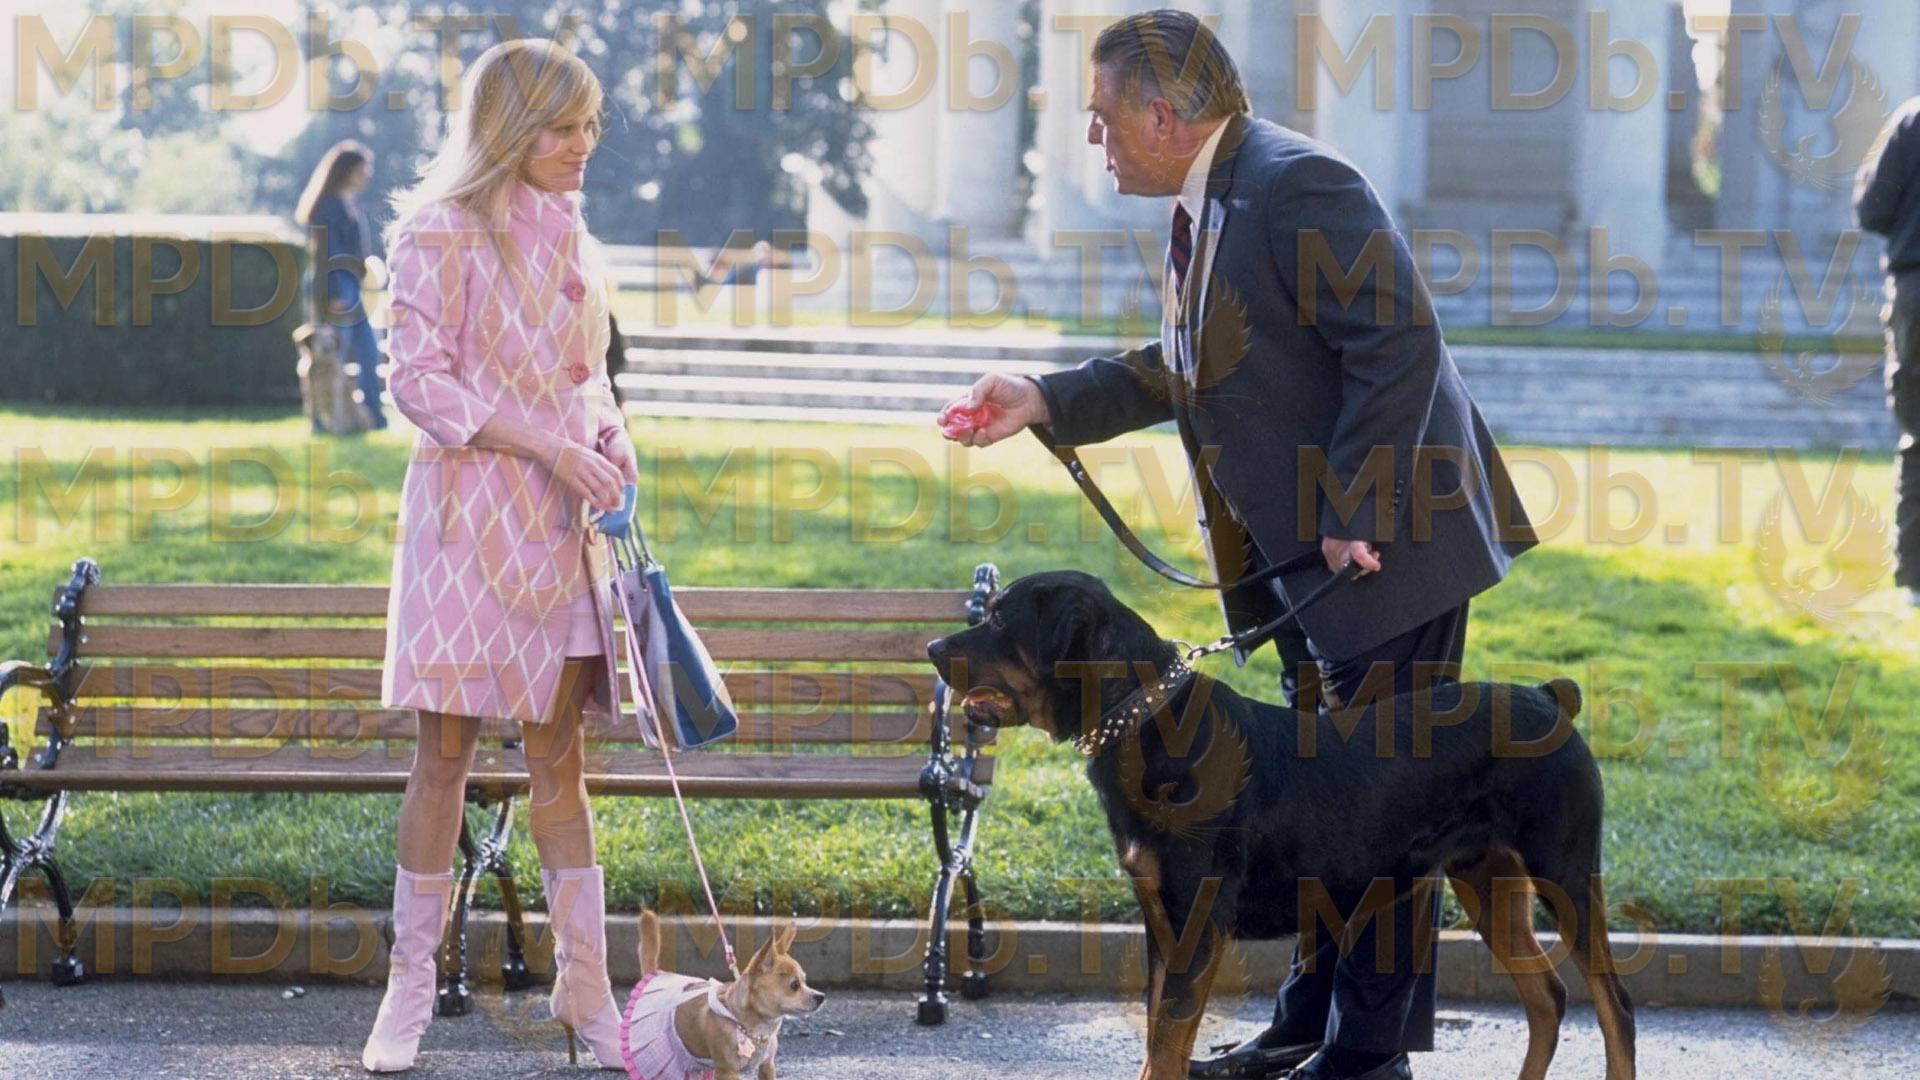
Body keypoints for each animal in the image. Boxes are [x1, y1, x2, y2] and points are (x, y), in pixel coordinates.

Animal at [619, 909, 826, 1080]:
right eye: (794, 985)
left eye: (806, 981)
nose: (821, 996)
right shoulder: (728, 1072)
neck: (753, 1029)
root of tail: (653, 974)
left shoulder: (767, 1067)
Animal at [926, 571, 1635, 1080]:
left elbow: (1167, 1043)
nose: (932, 647)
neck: (1146, 722)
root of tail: (1549, 698)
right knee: (1548, 999)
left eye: (998, 618)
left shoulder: (1197, 924)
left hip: (1565, 874)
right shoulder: (1161, 918)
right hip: (1486, 880)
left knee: (1616, 1009)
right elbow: (1159, 1036)